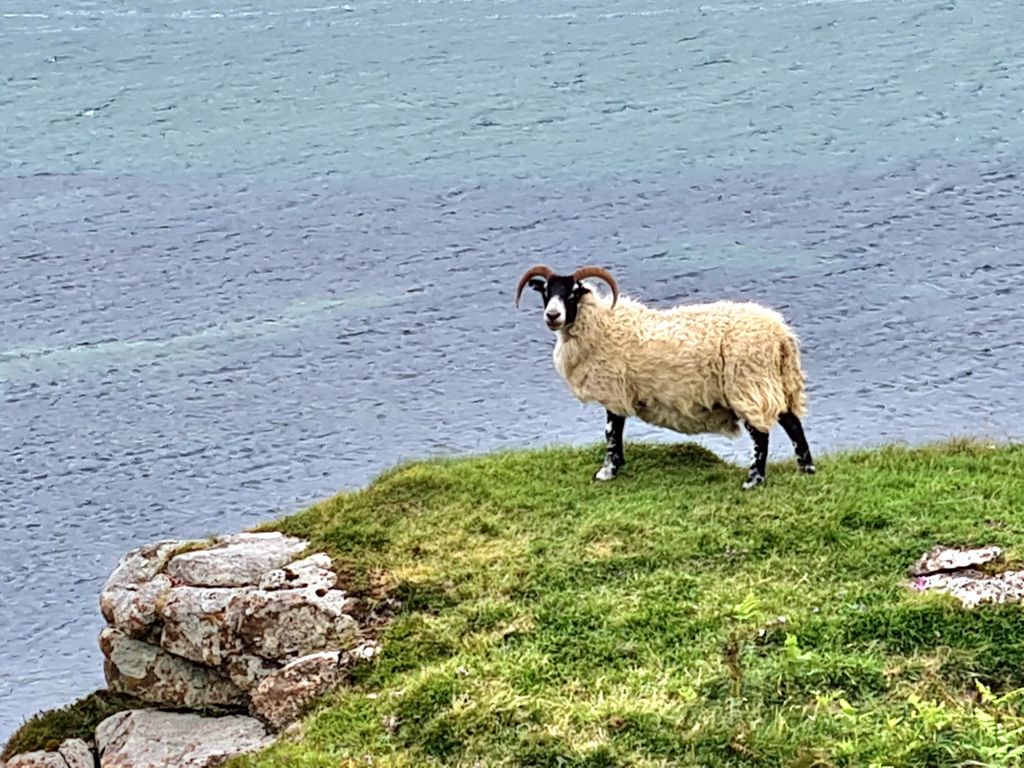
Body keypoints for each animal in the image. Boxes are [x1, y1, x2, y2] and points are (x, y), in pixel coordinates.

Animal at [514, 264, 815, 490]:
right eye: (546, 291)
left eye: (573, 293)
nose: (552, 315)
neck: (601, 326)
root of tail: (781, 334)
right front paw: (616, 467)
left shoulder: (614, 390)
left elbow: (611, 432)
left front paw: (607, 471)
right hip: (772, 382)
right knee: (793, 423)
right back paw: (807, 469)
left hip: (749, 383)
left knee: (761, 434)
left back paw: (754, 480)